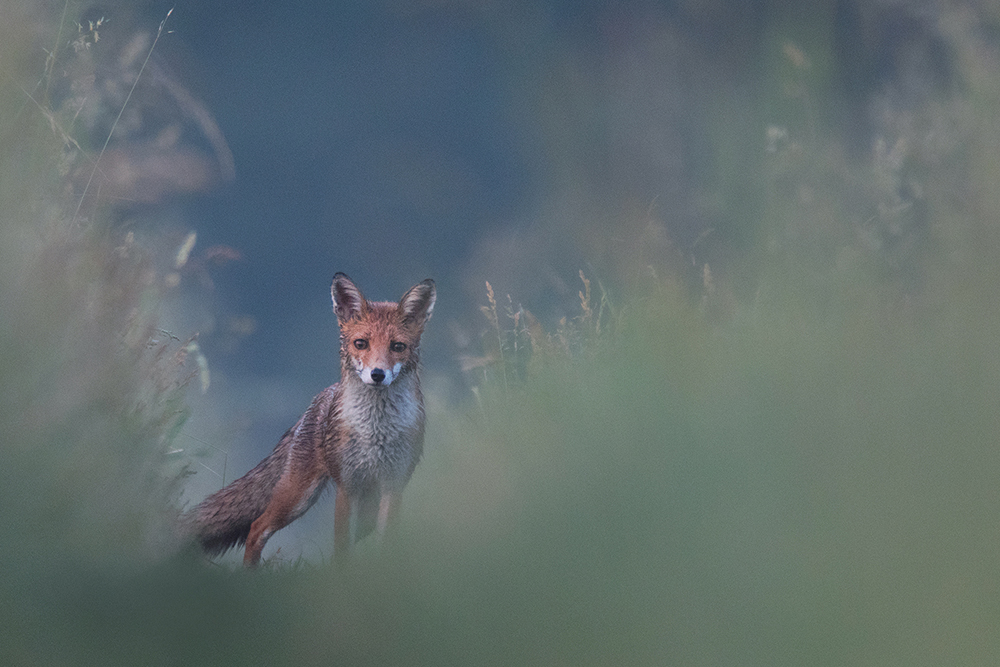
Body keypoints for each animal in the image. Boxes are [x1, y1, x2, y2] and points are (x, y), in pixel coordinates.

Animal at [186, 274, 436, 568]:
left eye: (397, 347)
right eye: (361, 343)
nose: (377, 374)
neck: (375, 430)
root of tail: (321, 396)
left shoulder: (393, 486)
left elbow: (385, 544)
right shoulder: (347, 486)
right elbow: (341, 547)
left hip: (363, 503)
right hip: (297, 495)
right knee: (257, 528)